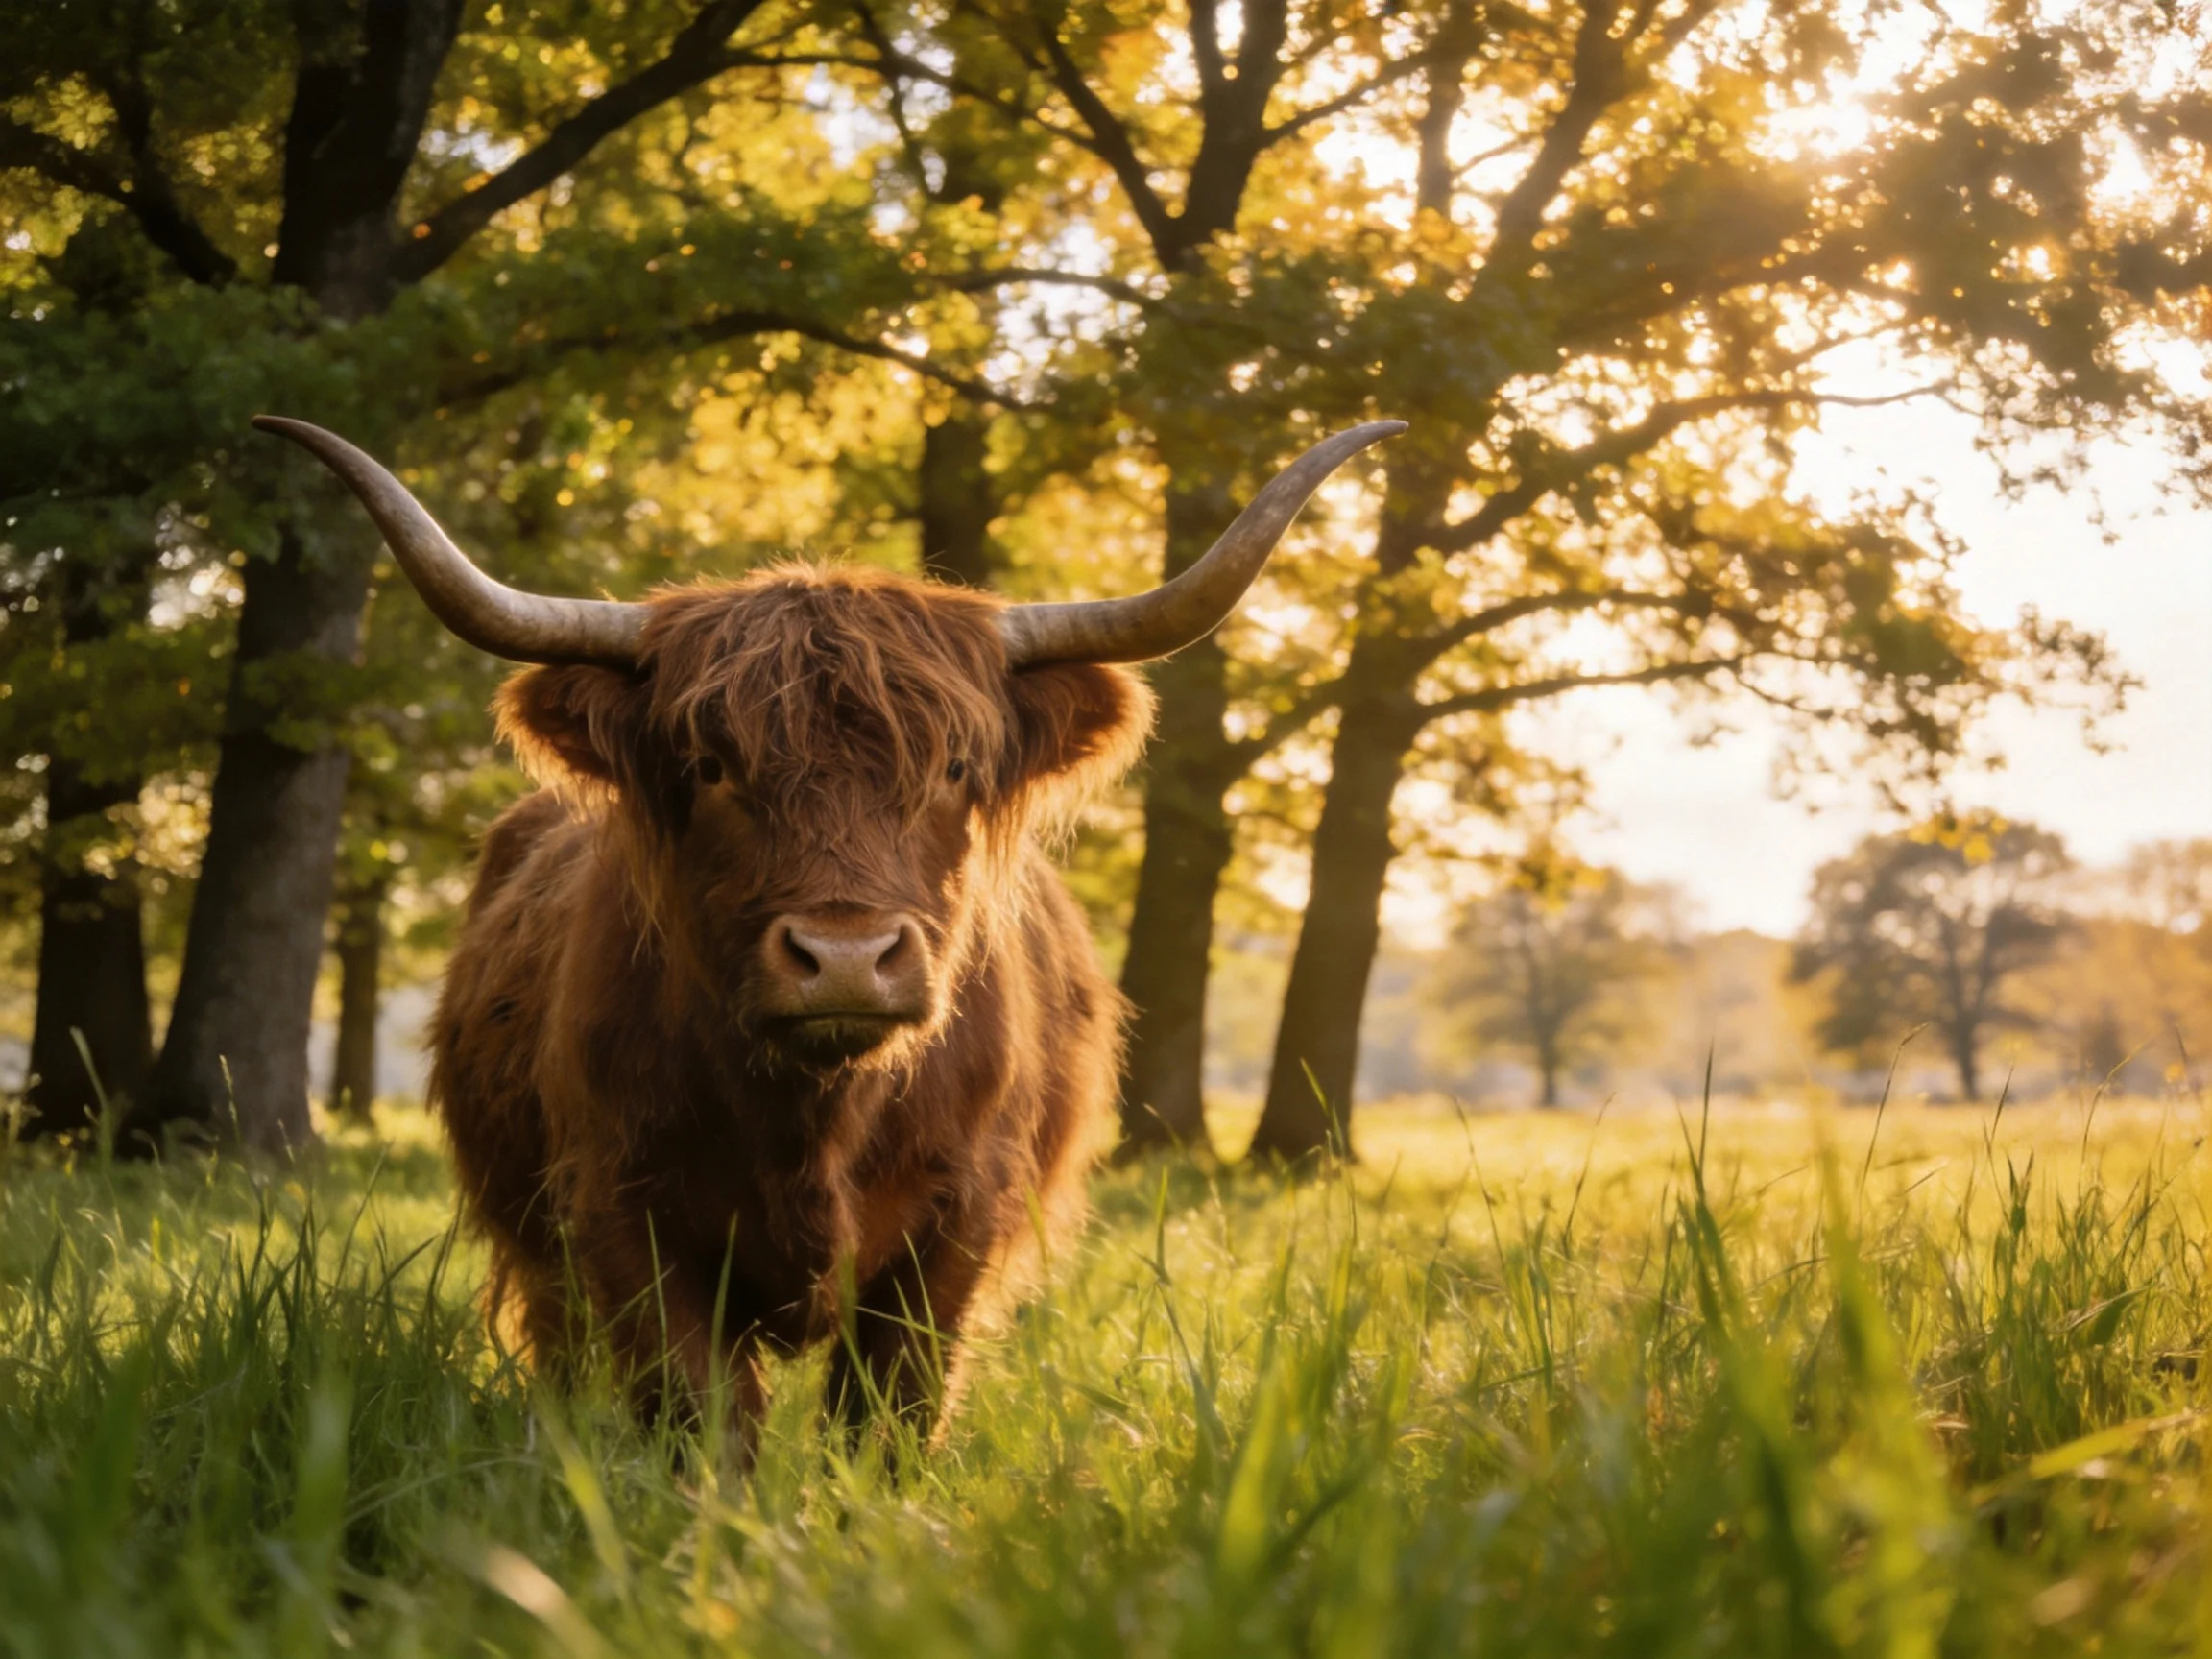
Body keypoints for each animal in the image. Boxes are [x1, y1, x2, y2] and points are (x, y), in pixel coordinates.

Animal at [258, 413, 1403, 1442]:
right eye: (709, 766)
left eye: (953, 767)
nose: (846, 959)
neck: (814, 1116)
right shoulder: (622, 1211)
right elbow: (700, 1417)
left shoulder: (955, 1227)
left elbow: (889, 1419)